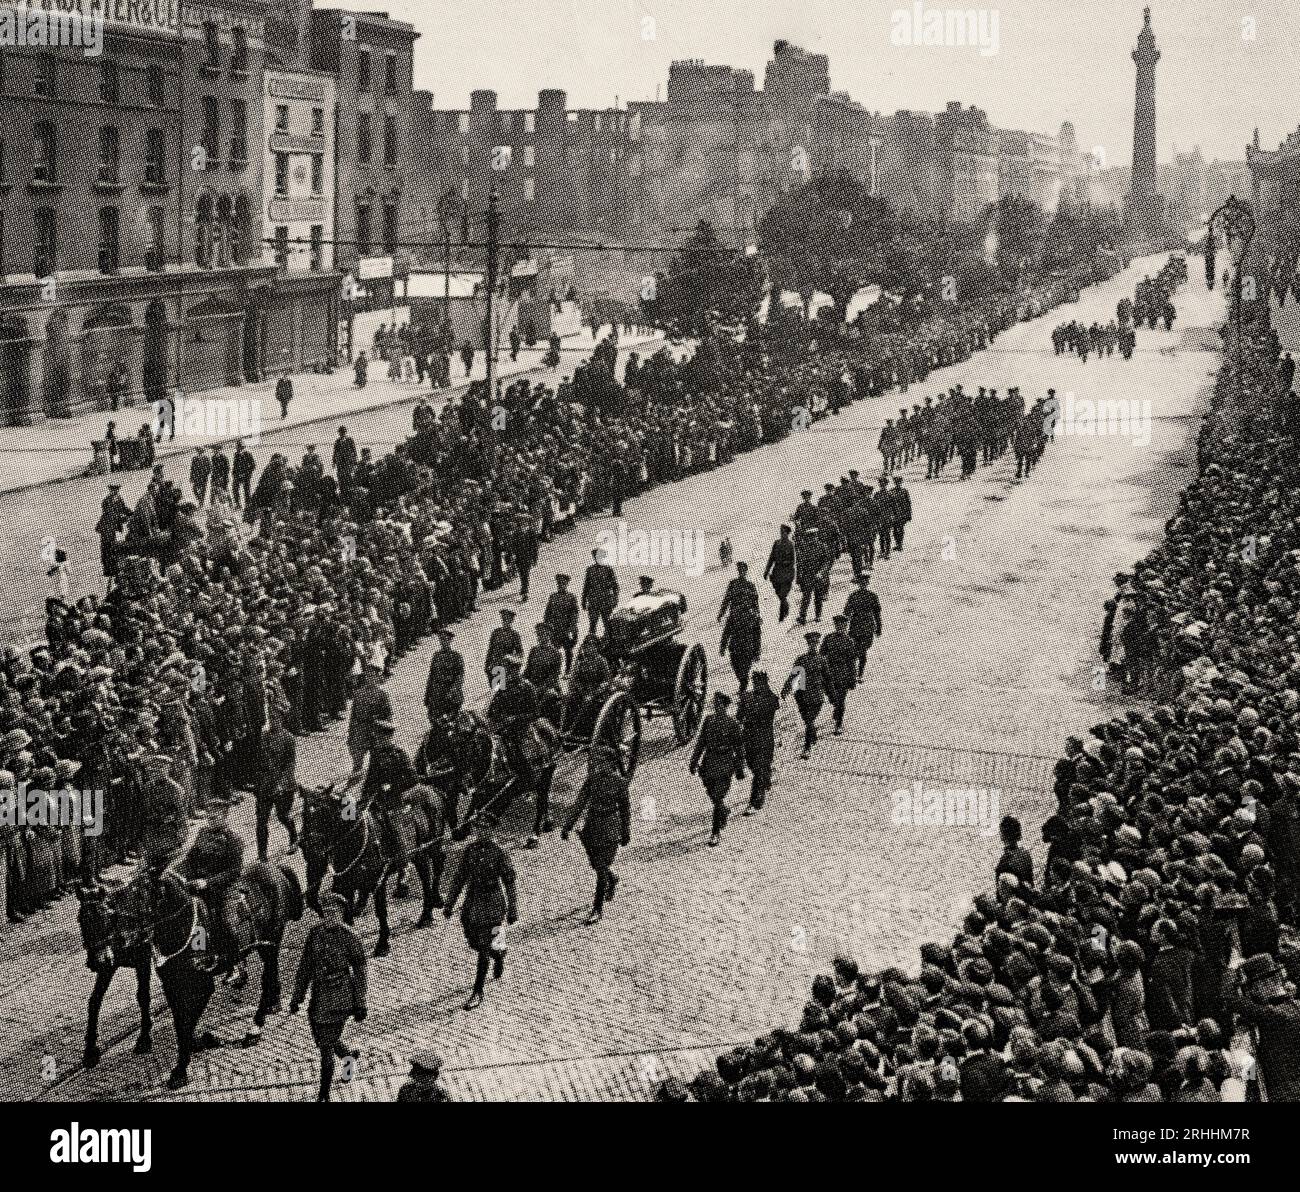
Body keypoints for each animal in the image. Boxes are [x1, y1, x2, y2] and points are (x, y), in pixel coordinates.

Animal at [299, 774, 447, 951]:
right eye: (304, 814)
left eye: (324, 813)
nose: (310, 847)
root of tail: (431, 788)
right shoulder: (345, 884)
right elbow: (345, 911)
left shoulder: (377, 881)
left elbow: (381, 911)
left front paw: (382, 943)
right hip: (419, 855)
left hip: (431, 847)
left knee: (434, 870)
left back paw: (429, 910)